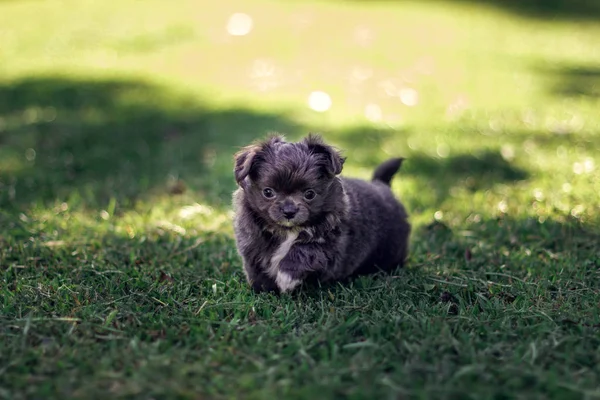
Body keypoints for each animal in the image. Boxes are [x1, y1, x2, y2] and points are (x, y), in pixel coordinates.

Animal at [232, 133, 410, 292]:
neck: (287, 231)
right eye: (268, 192)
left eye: (309, 194)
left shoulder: (330, 245)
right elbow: (255, 267)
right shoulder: (251, 243)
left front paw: (286, 277)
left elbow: (305, 250)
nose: (289, 211)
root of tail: (382, 185)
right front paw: (262, 290)